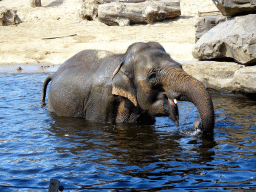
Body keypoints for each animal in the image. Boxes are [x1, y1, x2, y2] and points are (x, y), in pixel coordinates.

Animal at [41, 42, 214, 134]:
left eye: (180, 66)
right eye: (152, 76)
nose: (197, 124)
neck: (122, 60)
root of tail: (54, 73)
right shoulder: (99, 101)